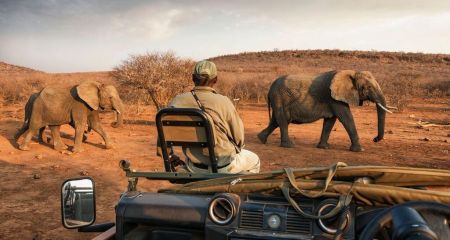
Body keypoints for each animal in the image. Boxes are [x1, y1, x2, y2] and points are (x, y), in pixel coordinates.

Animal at [258, 70, 392, 152]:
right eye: (368, 87)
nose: (375, 139)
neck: (352, 72)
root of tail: (269, 89)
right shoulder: (333, 98)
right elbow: (346, 117)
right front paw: (359, 150)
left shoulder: (334, 99)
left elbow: (330, 121)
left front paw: (324, 147)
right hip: (279, 98)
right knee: (282, 120)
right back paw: (289, 146)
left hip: (278, 100)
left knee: (276, 121)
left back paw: (261, 139)